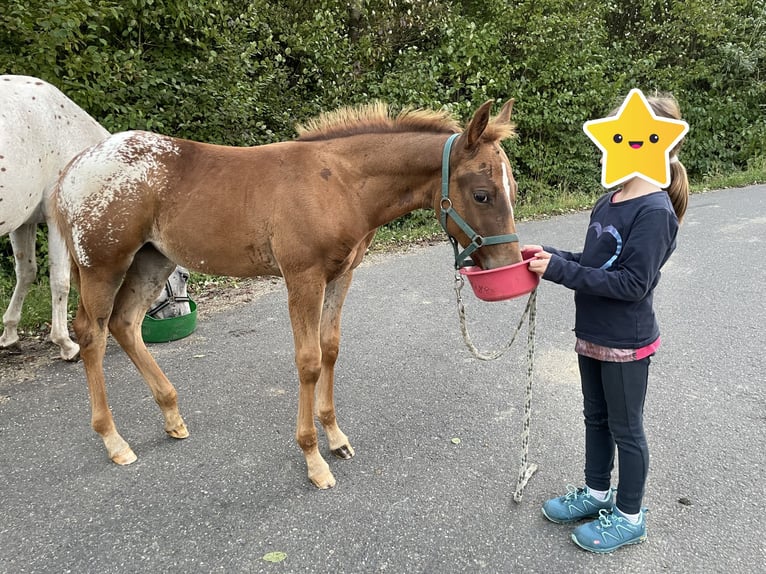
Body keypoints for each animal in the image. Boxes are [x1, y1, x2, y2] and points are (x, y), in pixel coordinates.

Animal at [0, 76, 109, 360]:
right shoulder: (56, 221)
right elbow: (60, 280)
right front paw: (66, 344)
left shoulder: (24, 222)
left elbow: (26, 272)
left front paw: (10, 334)